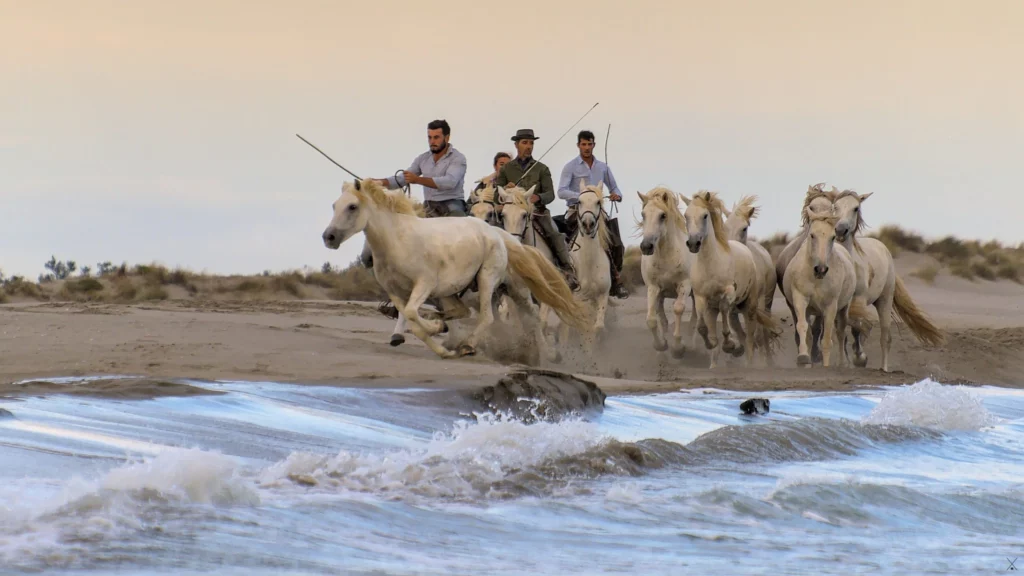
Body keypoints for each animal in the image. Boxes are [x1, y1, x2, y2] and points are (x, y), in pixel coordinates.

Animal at [322, 179, 588, 362]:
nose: (329, 237)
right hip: (460, 291)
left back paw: (474, 346)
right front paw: (440, 343)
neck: (398, 239)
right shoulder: (396, 293)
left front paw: (437, 330)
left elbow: (412, 315)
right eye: (334, 205)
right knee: (471, 312)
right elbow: (409, 319)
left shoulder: (424, 285)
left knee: (501, 317)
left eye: (352, 206)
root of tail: (498, 233)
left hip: (494, 282)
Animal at [637, 186, 693, 358]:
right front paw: (661, 344)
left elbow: (678, 309)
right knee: (661, 314)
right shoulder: (653, 287)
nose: (646, 246)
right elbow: (651, 319)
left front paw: (678, 348)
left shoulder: (684, 285)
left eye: (663, 215)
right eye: (643, 214)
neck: (667, 256)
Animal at [681, 191, 780, 369]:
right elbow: (702, 327)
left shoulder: (728, 293)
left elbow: (725, 313)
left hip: (753, 305)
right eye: (686, 215)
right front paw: (713, 345)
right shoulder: (701, 298)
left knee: (753, 335)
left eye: (705, 215)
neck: (711, 263)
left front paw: (729, 345)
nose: (693, 243)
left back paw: (752, 363)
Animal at [782, 208, 863, 367]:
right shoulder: (800, 299)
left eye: (832, 237)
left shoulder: (831, 306)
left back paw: (842, 363)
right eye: (812, 235)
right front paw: (803, 358)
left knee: (840, 332)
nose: (820, 269)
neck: (816, 279)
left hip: (843, 308)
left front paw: (826, 366)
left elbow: (826, 340)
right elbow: (802, 327)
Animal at [830, 189, 945, 371]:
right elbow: (843, 327)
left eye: (856, 208)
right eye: (835, 206)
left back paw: (883, 368)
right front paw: (845, 361)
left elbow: (856, 326)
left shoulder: (859, 300)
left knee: (885, 337)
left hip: (884, 300)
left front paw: (860, 358)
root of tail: (883, 247)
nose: (841, 231)